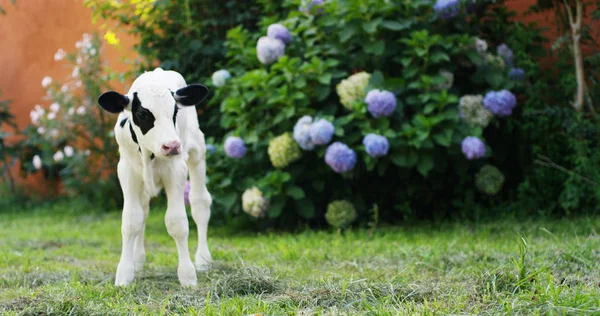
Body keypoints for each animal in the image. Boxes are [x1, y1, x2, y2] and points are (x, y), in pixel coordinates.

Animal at [97, 67, 212, 286]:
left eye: (175, 111)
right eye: (143, 113)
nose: (172, 145)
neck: (148, 153)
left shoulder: (176, 170)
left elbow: (177, 222)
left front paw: (187, 275)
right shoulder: (127, 170)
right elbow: (131, 220)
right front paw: (125, 273)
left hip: (197, 152)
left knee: (200, 203)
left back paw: (203, 259)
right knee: (143, 210)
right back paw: (138, 259)